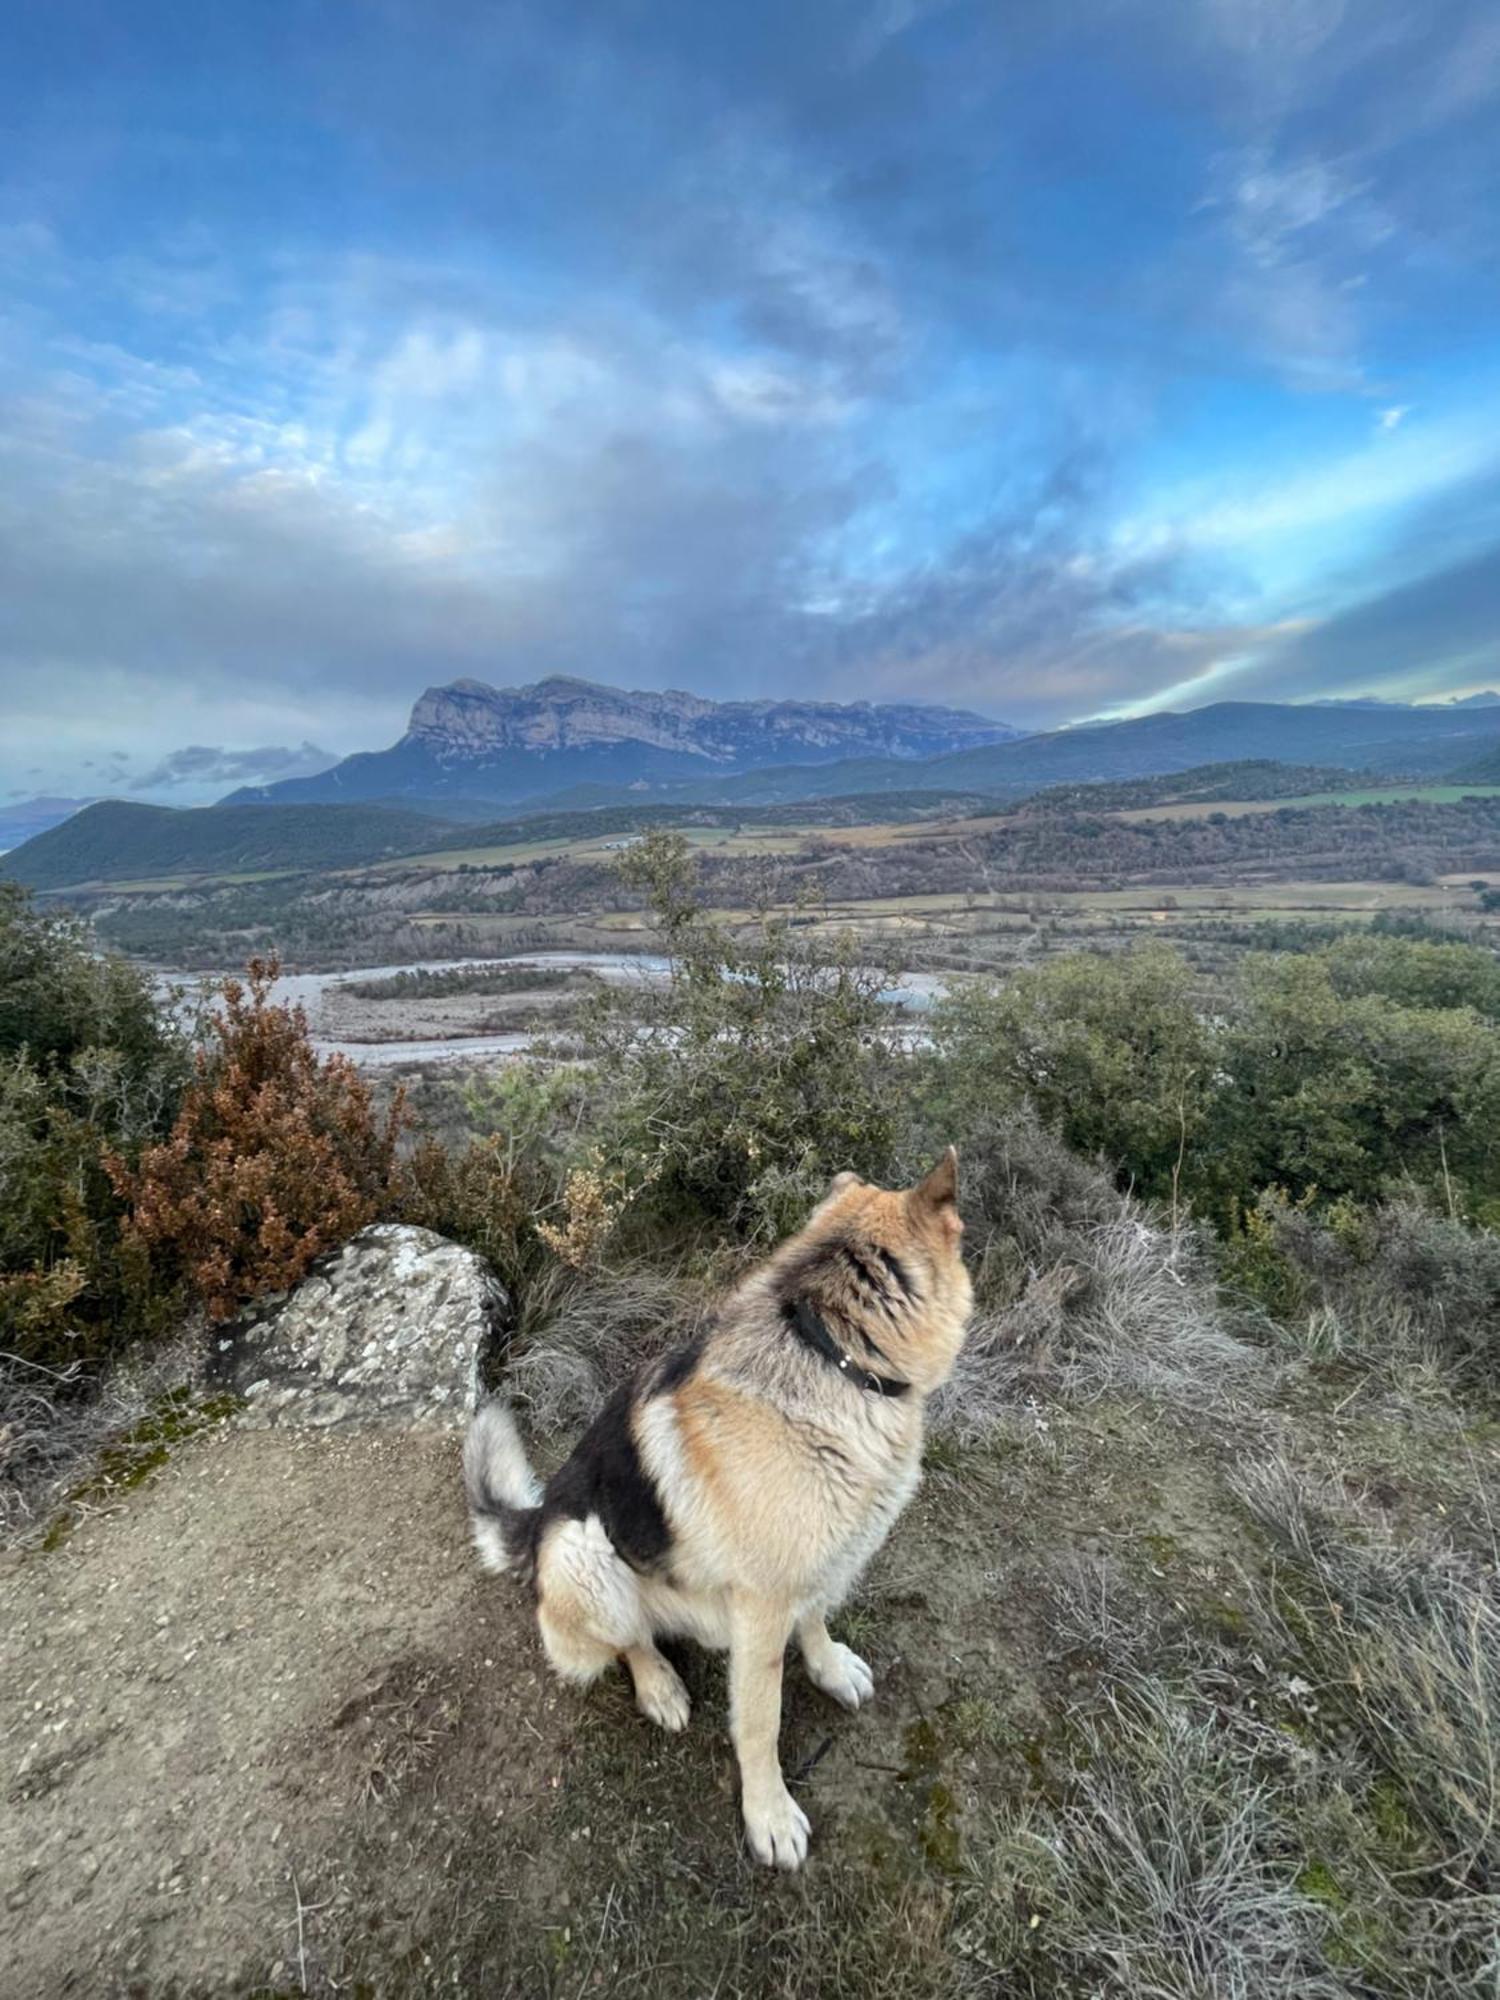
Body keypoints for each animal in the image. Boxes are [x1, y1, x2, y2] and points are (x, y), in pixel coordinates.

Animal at [462, 1152, 976, 1864]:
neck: (831, 1355)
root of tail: (535, 1525)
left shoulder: (816, 1566)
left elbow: (815, 1619)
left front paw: (828, 1667)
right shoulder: (763, 1605)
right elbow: (761, 1722)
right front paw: (769, 1815)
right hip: (584, 1555)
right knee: (630, 1641)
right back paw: (660, 1686)